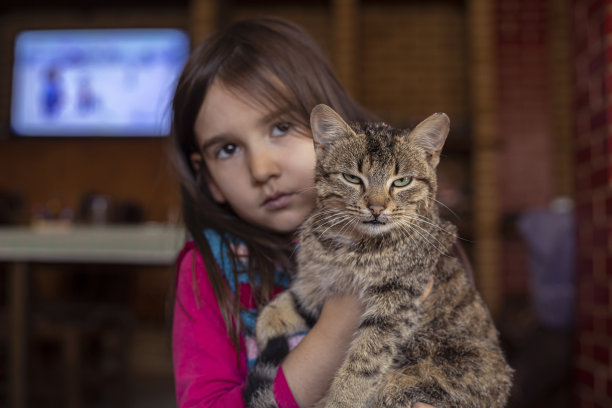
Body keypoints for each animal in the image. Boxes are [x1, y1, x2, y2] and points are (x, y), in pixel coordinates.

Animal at [243, 105, 512, 408]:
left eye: (402, 181)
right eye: (352, 178)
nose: (376, 207)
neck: (347, 245)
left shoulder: (396, 300)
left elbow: (364, 361)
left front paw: (341, 400)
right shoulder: (319, 276)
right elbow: (297, 297)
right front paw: (267, 323)